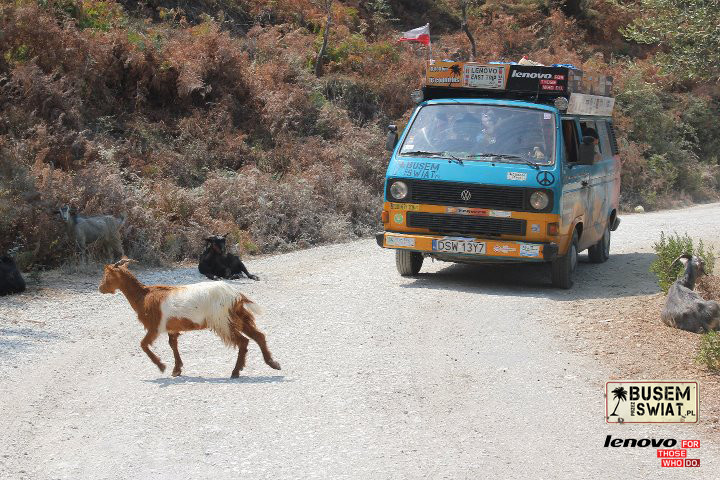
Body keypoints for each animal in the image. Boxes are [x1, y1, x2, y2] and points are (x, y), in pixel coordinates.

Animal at [100, 256, 280, 376]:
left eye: (107, 276)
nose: (100, 288)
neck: (143, 296)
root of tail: (236, 294)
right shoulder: (171, 328)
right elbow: (173, 345)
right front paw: (176, 369)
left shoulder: (155, 326)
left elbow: (143, 344)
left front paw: (162, 366)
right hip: (238, 316)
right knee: (259, 336)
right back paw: (273, 363)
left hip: (222, 320)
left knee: (243, 341)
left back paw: (236, 371)